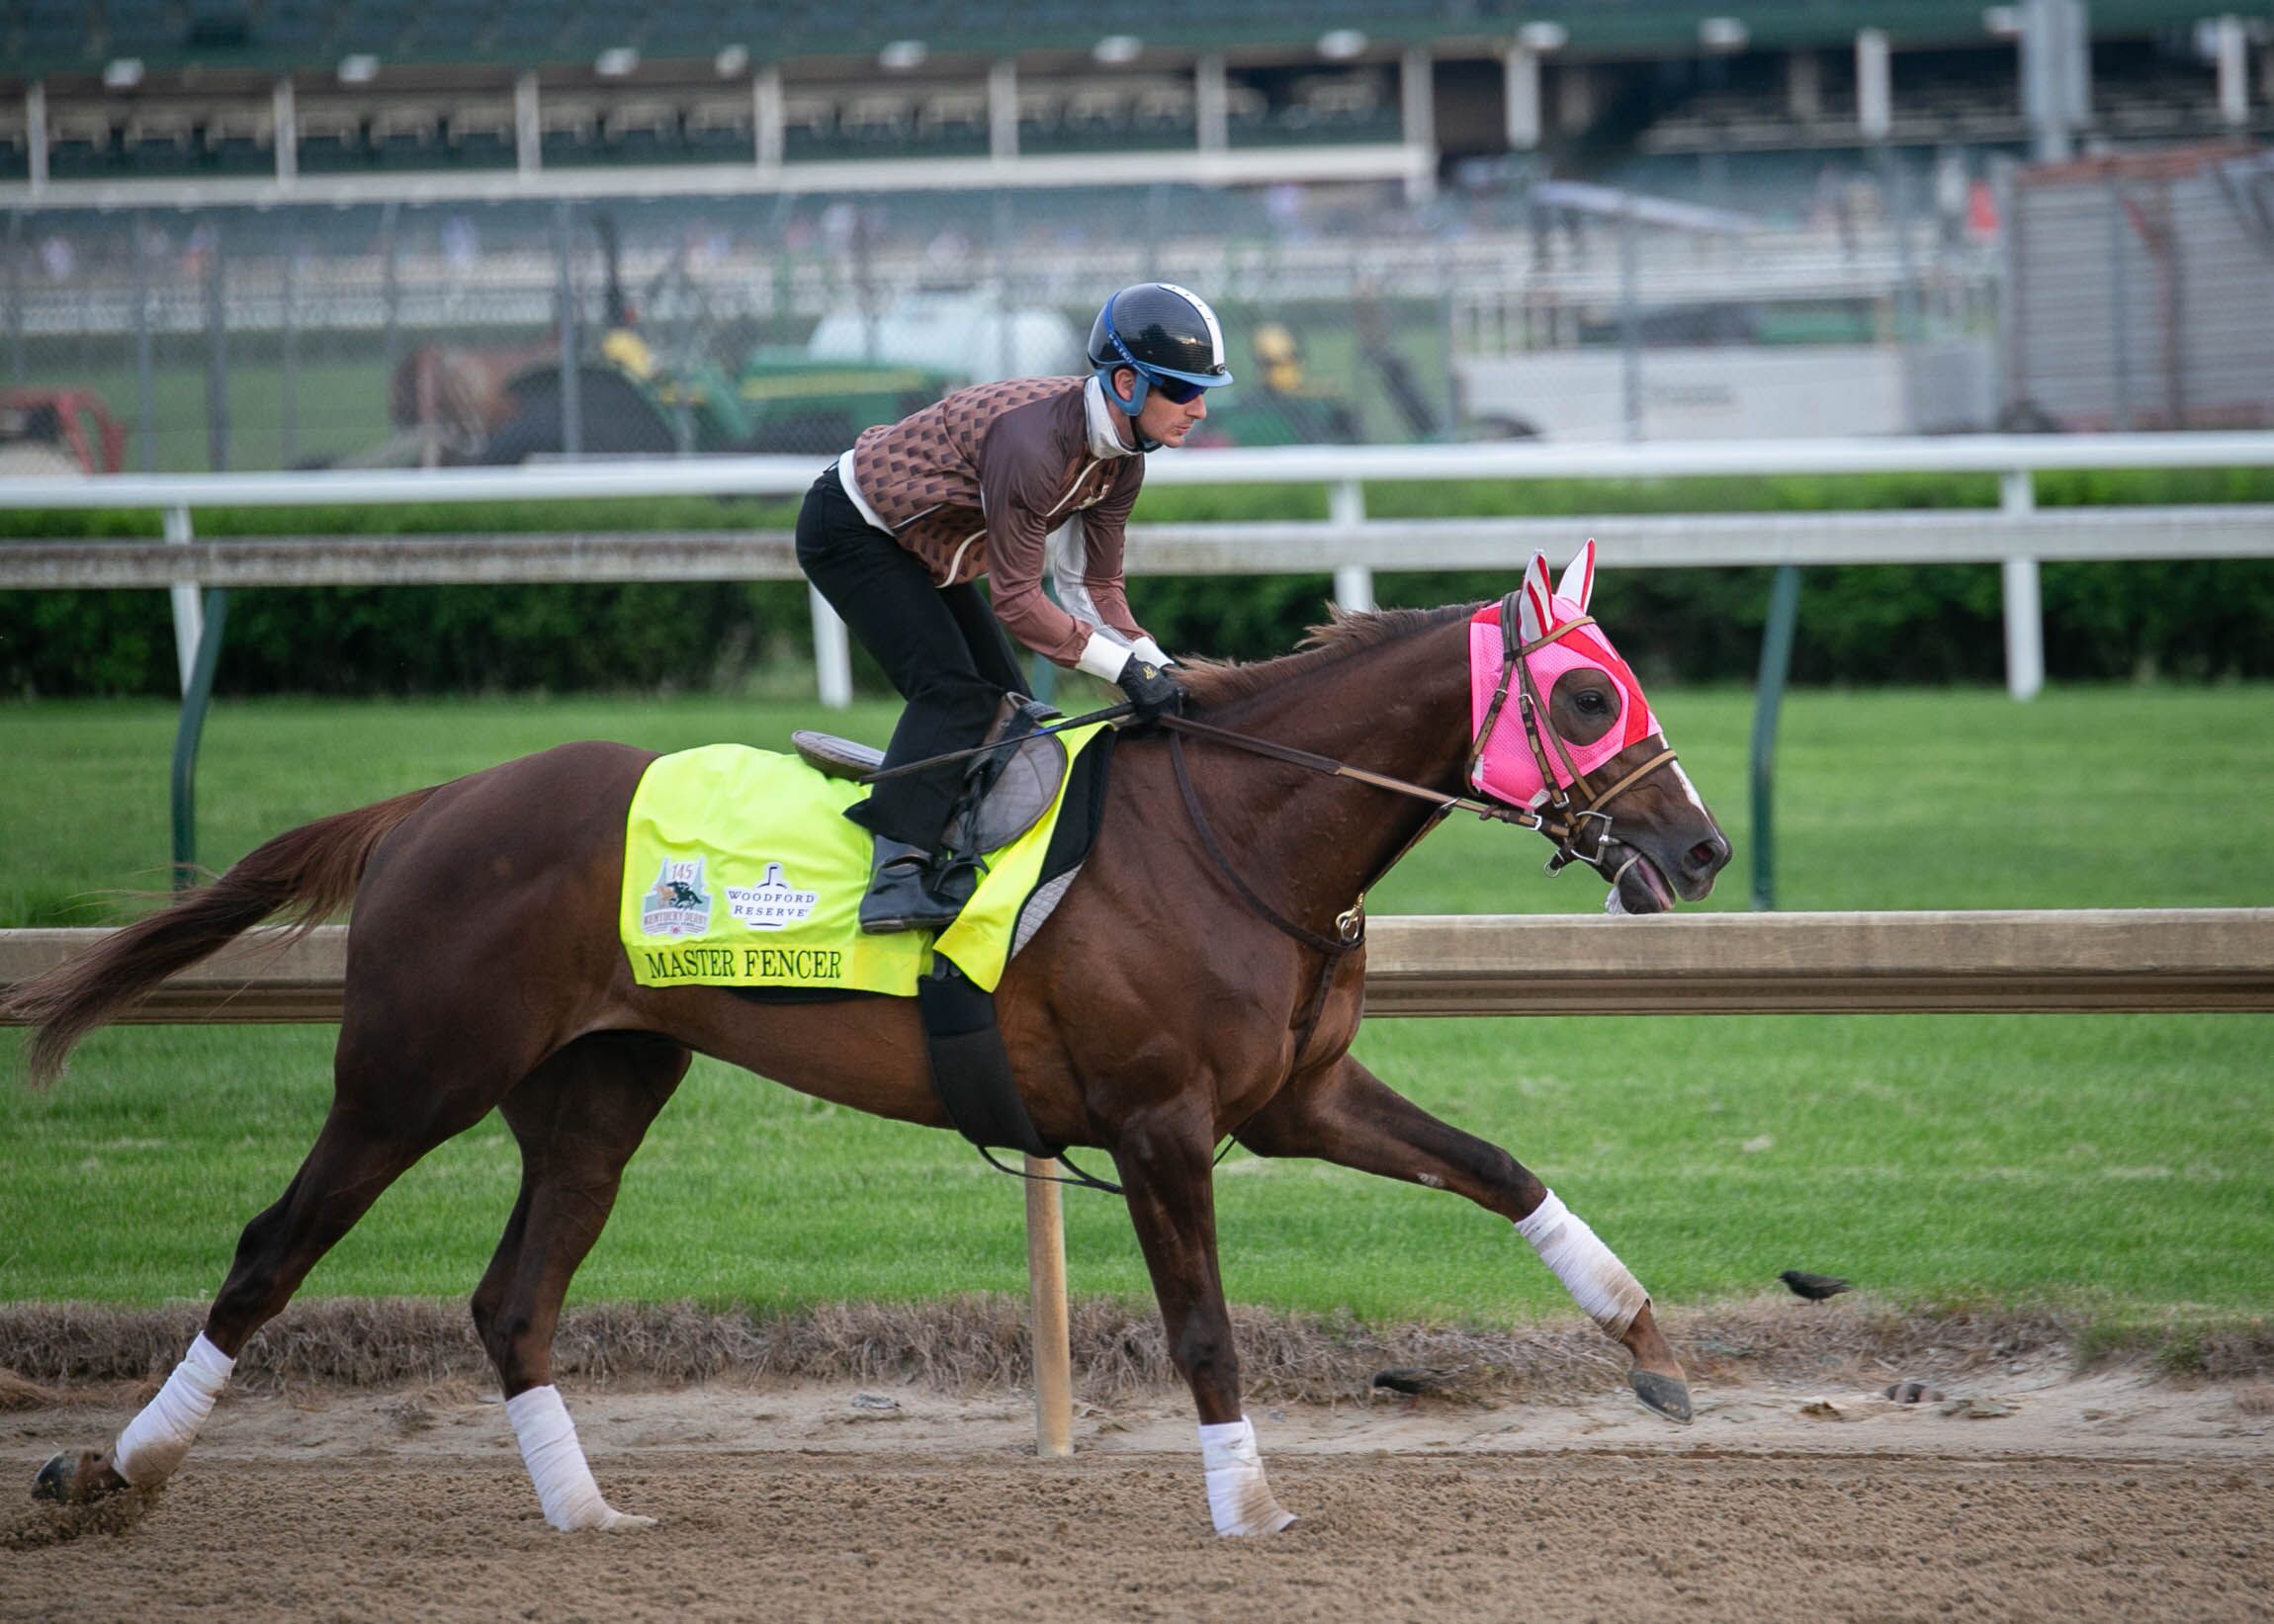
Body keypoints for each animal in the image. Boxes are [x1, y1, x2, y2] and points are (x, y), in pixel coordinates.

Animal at [13, 548, 1718, 1528]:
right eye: (1584, 697)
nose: (1697, 850)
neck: (1239, 826)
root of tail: (435, 799)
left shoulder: (1298, 1095)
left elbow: (1498, 1166)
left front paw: (1649, 1340)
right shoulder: (1161, 1121)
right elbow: (1205, 1327)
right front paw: (1248, 1505)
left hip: (596, 1085)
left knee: (512, 1297)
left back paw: (587, 1513)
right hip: (412, 1071)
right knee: (270, 1250)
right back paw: (120, 1469)